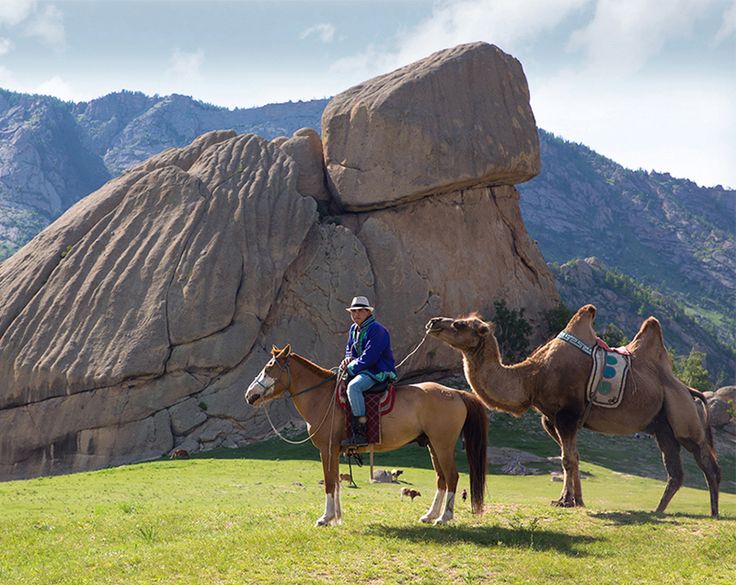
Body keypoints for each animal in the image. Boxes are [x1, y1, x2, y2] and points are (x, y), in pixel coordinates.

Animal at [244, 344, 488, 526]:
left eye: (269, 368)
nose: (249, 395)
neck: (322, 398)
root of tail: (455, 393)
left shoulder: (326, 449)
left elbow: (330, 483)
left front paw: (325, 518)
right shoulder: (334, 451)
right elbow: (336, 482)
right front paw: (336, 518)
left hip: (443, 445)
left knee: (452, 477)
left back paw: (444, 517)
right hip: (432, 446)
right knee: (441, 479)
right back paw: (430, 515)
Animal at [425, 304, 720, 517]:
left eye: (461, 324)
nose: (433, 322)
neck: (533, 377)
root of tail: (690, 390)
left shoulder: (567, 415)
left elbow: (567, 459)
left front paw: (565, 501)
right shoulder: (551, 419)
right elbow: (572, 457)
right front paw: (576, 500)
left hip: (684, 419)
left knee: (708, 463)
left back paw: (714, 513)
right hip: (663, 427)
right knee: (675, 472)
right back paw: (658, 511)